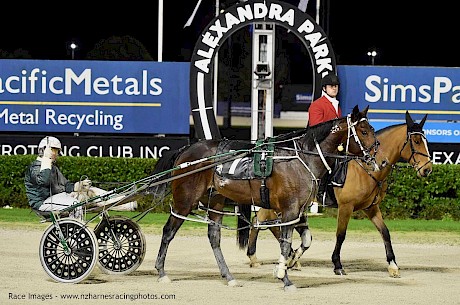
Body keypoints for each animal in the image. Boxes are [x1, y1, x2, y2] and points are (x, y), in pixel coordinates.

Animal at [149, 105, 380, 290]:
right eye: (364, 131)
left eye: (371, 130)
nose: (376, 157)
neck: (301, 158)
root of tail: (186, 149)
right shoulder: (289, 209)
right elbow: (285, 243)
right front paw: (284, 278)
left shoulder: (299, 210)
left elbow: (303, 240)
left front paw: (287, 264)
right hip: (185, 200)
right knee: (168, 232)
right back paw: (161, 272)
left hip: (214, 200)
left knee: (214, 237)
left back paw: (229, 276)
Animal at [244, 110, 432, 276]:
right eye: (416, 141)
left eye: (425, 140)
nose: (427, 169)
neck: (365, 169)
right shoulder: (346, 207)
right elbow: (341, 235)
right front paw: (337, 265)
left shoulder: (371, 208)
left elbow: (385, 232)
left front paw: (393, 265)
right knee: (260, 222)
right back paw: (256, 257)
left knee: (264, 222)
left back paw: (287, 257)